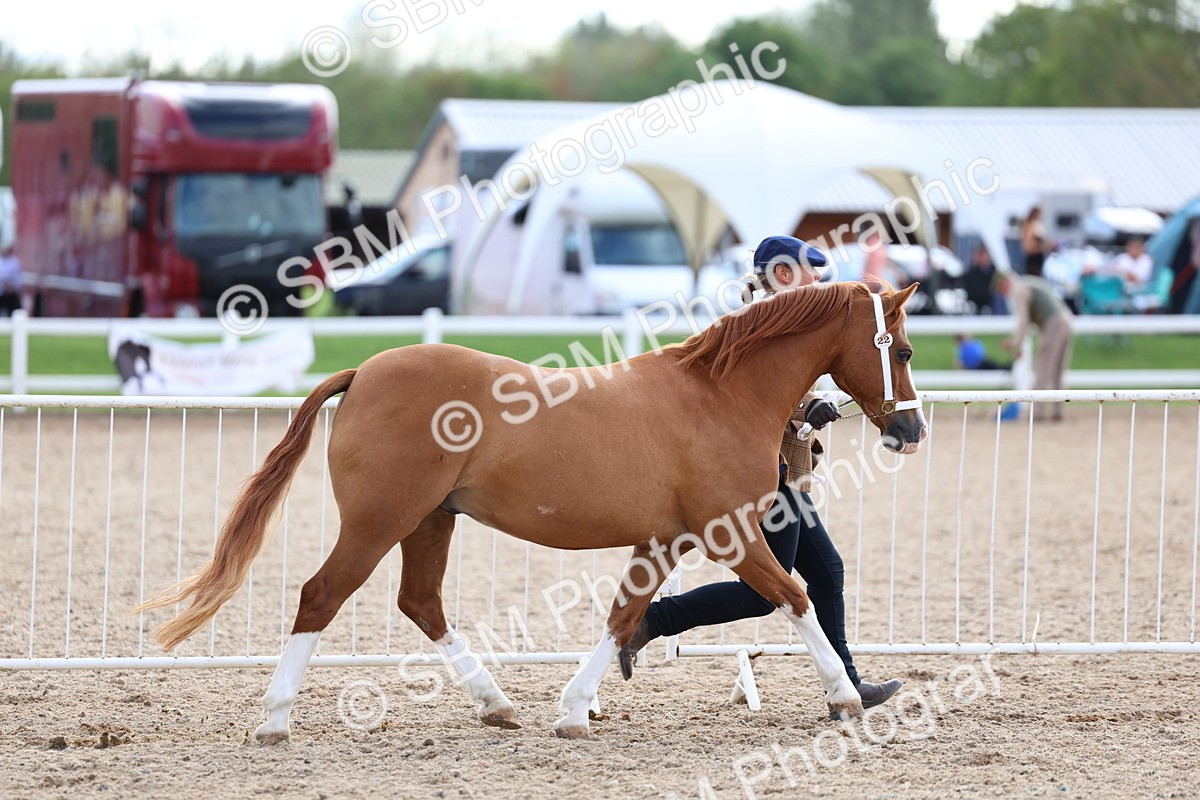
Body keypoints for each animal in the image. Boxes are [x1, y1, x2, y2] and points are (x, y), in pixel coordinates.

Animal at [137, 280, 927, 743]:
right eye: (905, 348)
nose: (912, 428)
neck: (718, 395)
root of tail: (364, 372)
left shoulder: (665, 541)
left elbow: (623, 616)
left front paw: (574, 709)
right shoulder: (728, 534)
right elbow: (794, 597)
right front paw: (844, 698)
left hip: (431, 522)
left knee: (421, 602)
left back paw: (495, 703)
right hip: (378, 523)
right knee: (321, 595)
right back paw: (275, 719)